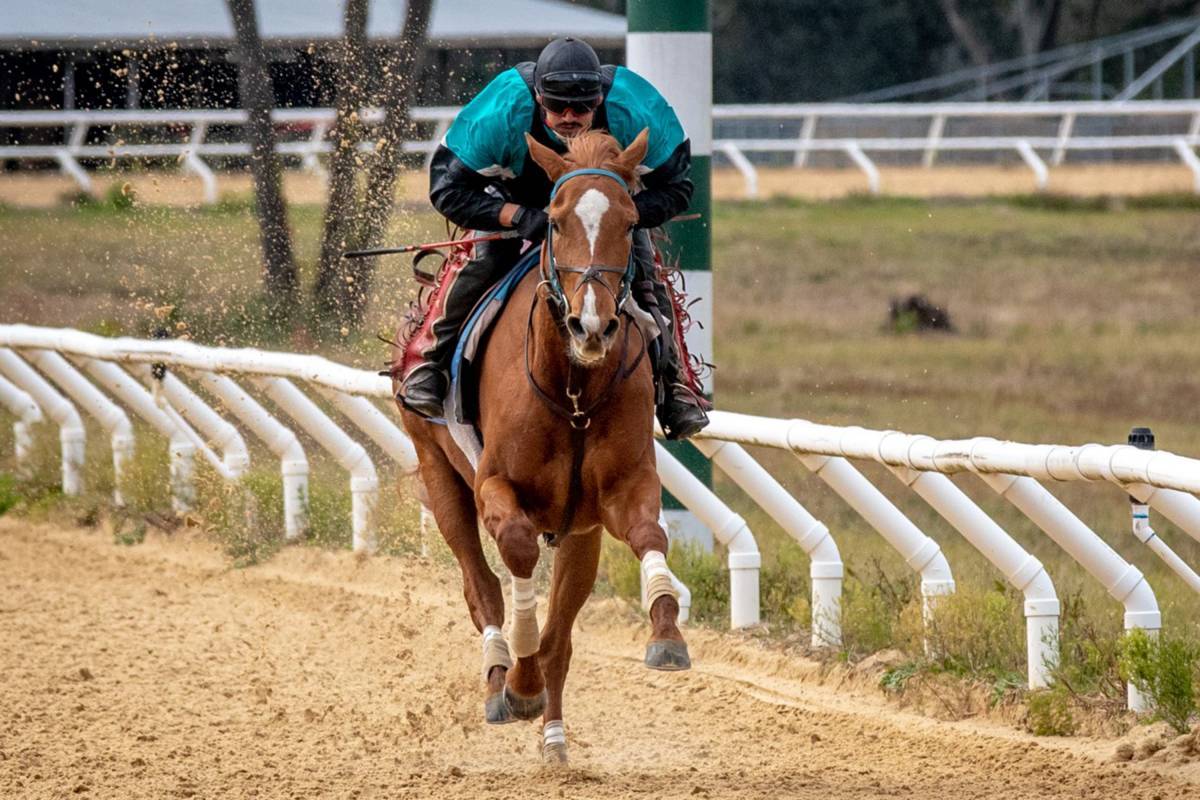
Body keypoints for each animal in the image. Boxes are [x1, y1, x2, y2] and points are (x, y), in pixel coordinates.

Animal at [393, 128, 691, 767]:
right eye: (553, 220)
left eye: (631, 222)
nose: (591, 325)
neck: (573, 388)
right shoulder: (495, 486)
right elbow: (517, 549)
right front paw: (518, 680)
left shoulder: (616, 493)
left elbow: (649, 535)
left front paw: (666, 633)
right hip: (437, 469)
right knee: (481, 587)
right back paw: (500, 678)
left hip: (579, 533)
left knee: (561, 638)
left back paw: (555, 740)